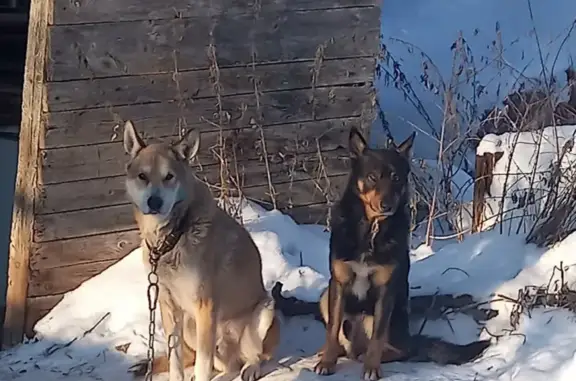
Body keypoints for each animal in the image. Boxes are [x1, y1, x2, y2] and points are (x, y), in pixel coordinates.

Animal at [312, 128, 488, 380]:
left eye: (396, 178)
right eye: (372, 177)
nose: (387, 205)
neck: (372, 229)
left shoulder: (386, 291)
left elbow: (377, 338)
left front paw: (372, 369)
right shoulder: (338, 283)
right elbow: (332, 328)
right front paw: (327, 361)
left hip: (383, 316)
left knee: (398, 350)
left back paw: (369, 357)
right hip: (326, 295)